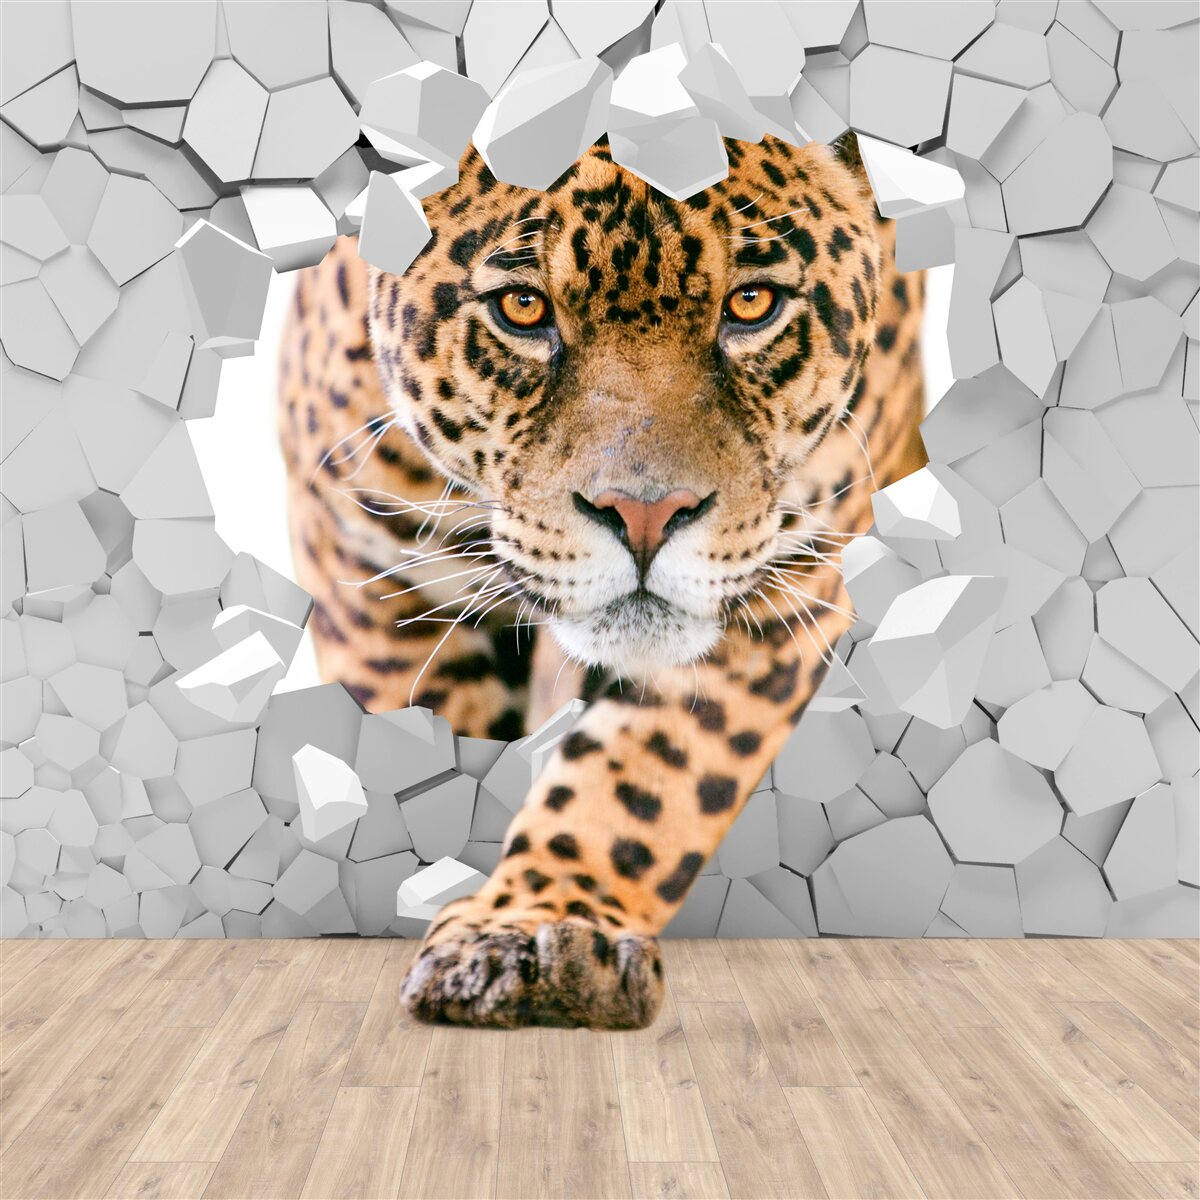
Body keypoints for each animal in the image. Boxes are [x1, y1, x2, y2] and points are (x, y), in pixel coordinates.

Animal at [278, 133, 926, 1029]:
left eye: (752, 303)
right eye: (523, 308)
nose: (646, 515)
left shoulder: (780, 591)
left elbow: (641, 778)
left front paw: (542, 929)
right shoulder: (374, 578)